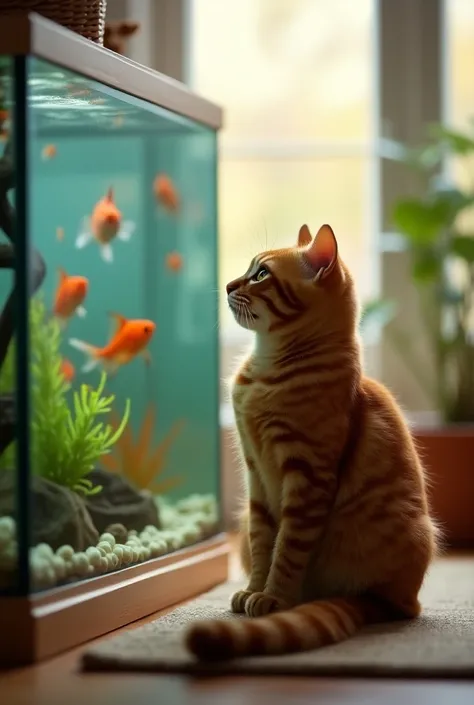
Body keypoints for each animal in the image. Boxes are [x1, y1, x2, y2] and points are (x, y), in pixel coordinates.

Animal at [187, 224, 438, 660]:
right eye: (249, 270)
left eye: (261, 275)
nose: (229, 284)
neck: (265, 369)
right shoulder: (256, 475)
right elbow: (262, 542)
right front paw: (253, 590)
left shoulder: (306, 475)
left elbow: (287, 549)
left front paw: (271, 598)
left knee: (398, 608)